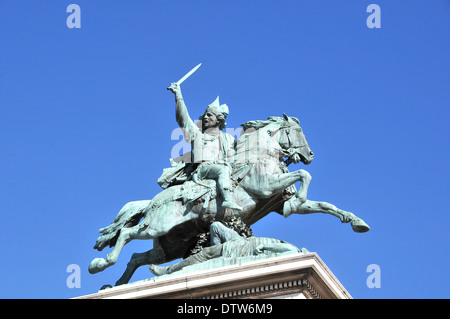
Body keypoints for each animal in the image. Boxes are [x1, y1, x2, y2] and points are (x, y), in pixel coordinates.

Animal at [88, 114, 370, 286]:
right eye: (297, 131)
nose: (310, 154)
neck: (259, 156)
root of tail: (152, 201)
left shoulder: (281, 201)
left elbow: (324, 205)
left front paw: (356, 221)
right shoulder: (266, 187)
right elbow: (304, 175)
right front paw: (300, 193)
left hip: (170, 245)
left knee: (138, 257)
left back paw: (117, 284)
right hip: (157, 226)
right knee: (126, 235)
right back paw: (101, 264)